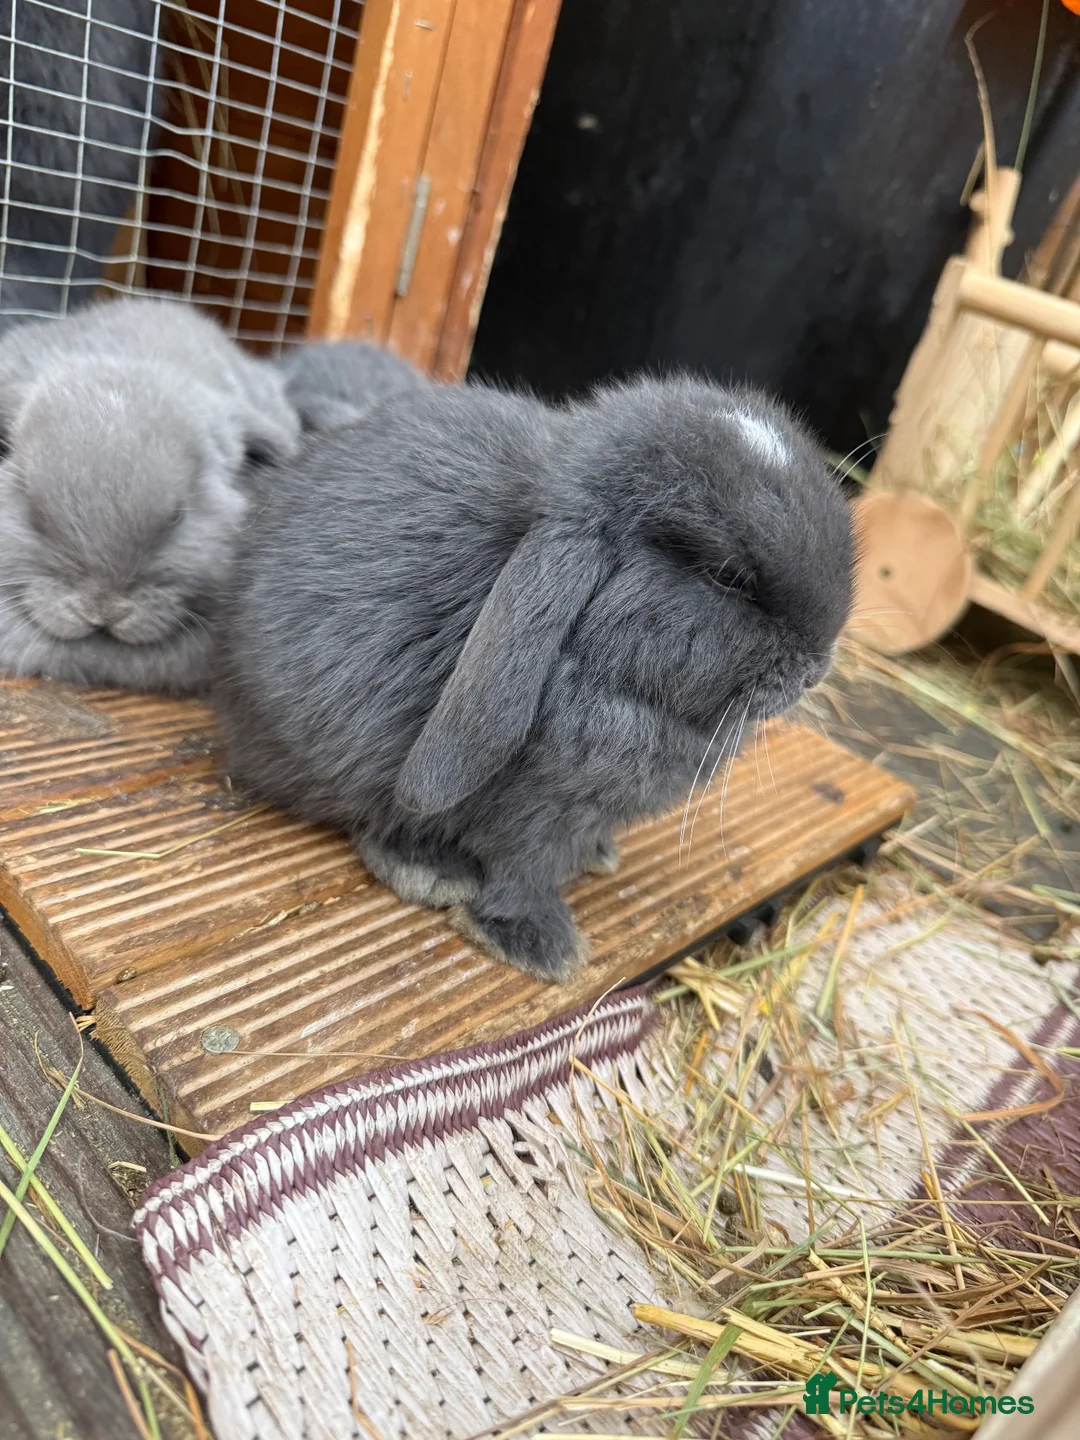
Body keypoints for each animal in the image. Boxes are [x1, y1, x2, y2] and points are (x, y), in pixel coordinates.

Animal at [213, 375, 854, 981]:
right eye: (727, 576)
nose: (815, 670)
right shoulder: (539, 812)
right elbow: (522, 874)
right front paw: (540, 948)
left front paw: (599, 856)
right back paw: (432, 873)